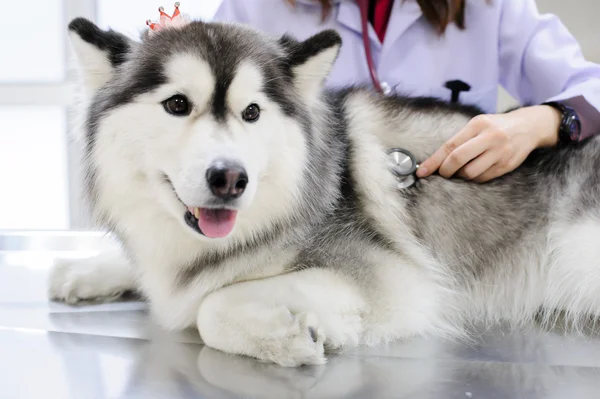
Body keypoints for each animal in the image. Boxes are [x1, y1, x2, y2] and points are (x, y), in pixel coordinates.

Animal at [49, 14, 600, 366]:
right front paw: (86, 270)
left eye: (252, 112)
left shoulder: (401, 284)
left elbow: (211, 305)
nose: (230, 178)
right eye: (177, 104)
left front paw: (285, 338)